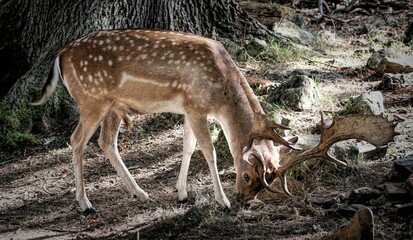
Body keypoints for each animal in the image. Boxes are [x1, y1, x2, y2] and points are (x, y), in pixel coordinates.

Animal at [30, 29, 394, 213]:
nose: (246, 199)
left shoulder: (190, 109)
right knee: (77, 141)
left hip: (114, 106)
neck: (222, 91)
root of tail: (59, 55)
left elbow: (188, 147)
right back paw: (85, 204)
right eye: (248, 175)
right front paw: (221, 200)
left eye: (264, 181)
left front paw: (181, 194)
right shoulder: (194, 106)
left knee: (106, 142)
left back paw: (142, 195)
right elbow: (210, 151)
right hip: (93, 99)